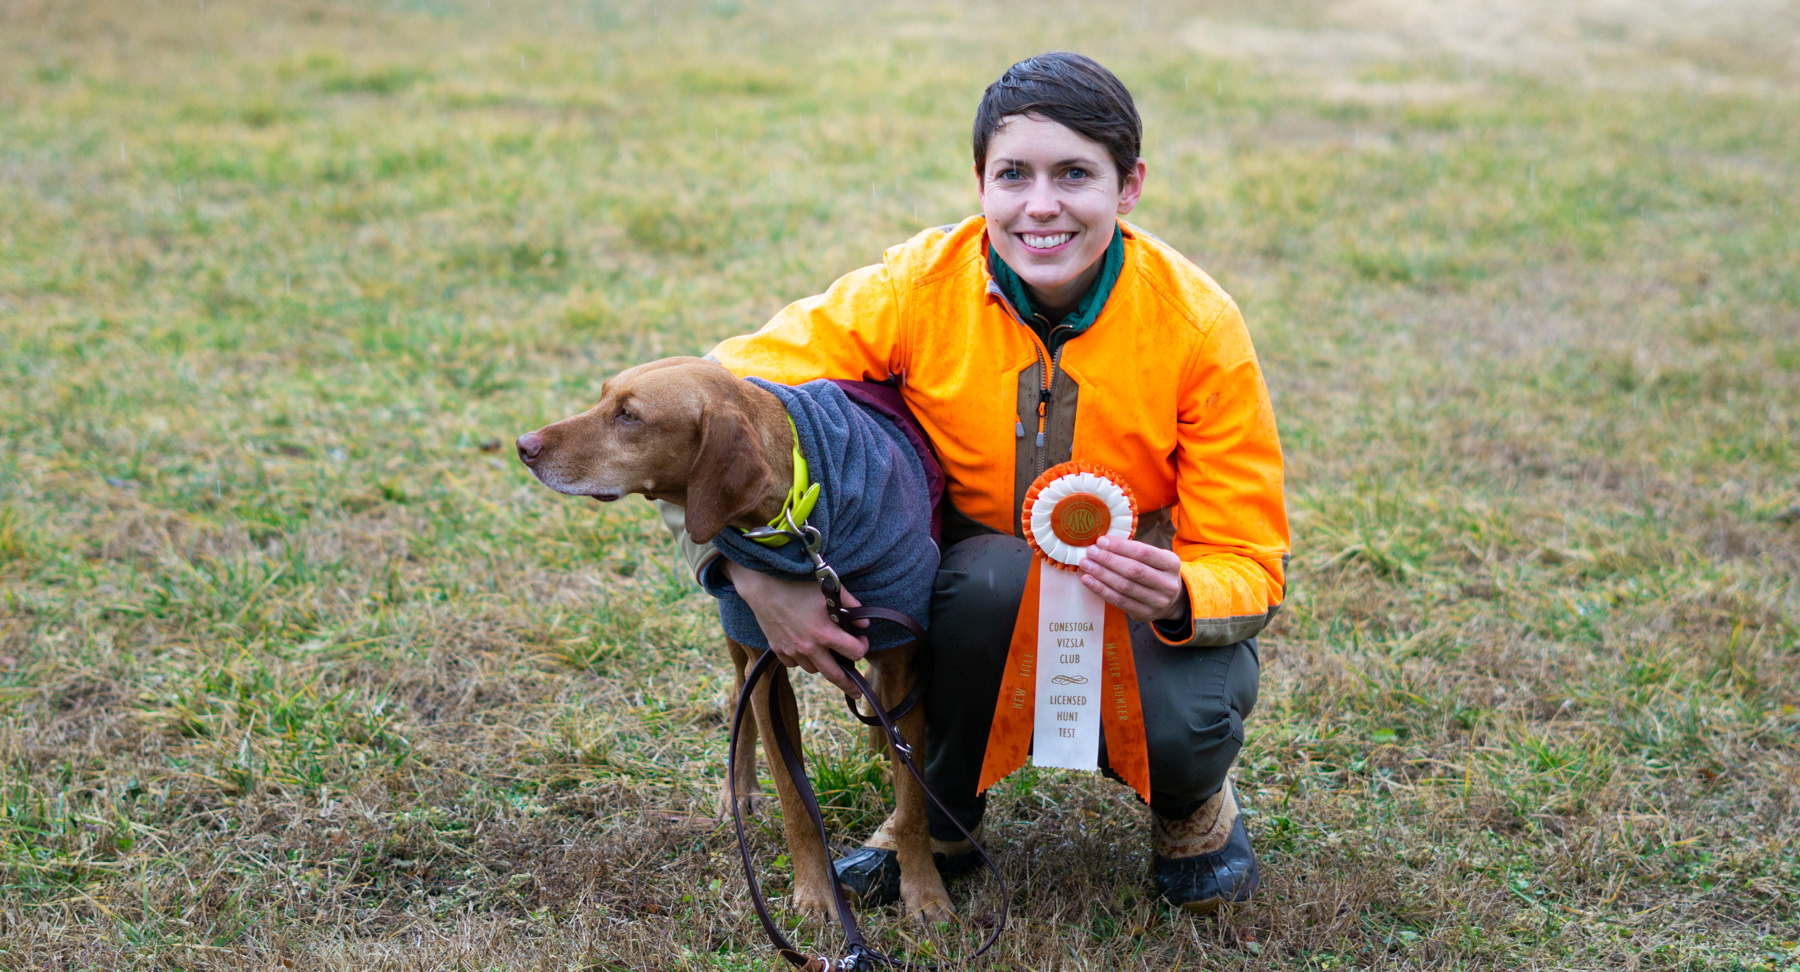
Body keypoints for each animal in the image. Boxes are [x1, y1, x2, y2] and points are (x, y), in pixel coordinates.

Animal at [514, 360, 950, 921]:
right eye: (603, 397)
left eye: (629, 415)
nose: (523, 445)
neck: (797, 517)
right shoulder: (769, 673)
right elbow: (795, 799)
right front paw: (815, 896)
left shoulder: (904, 659)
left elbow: (913, 799)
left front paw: (925, 893)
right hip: (741, 641)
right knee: (734, 698)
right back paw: (736, 791)